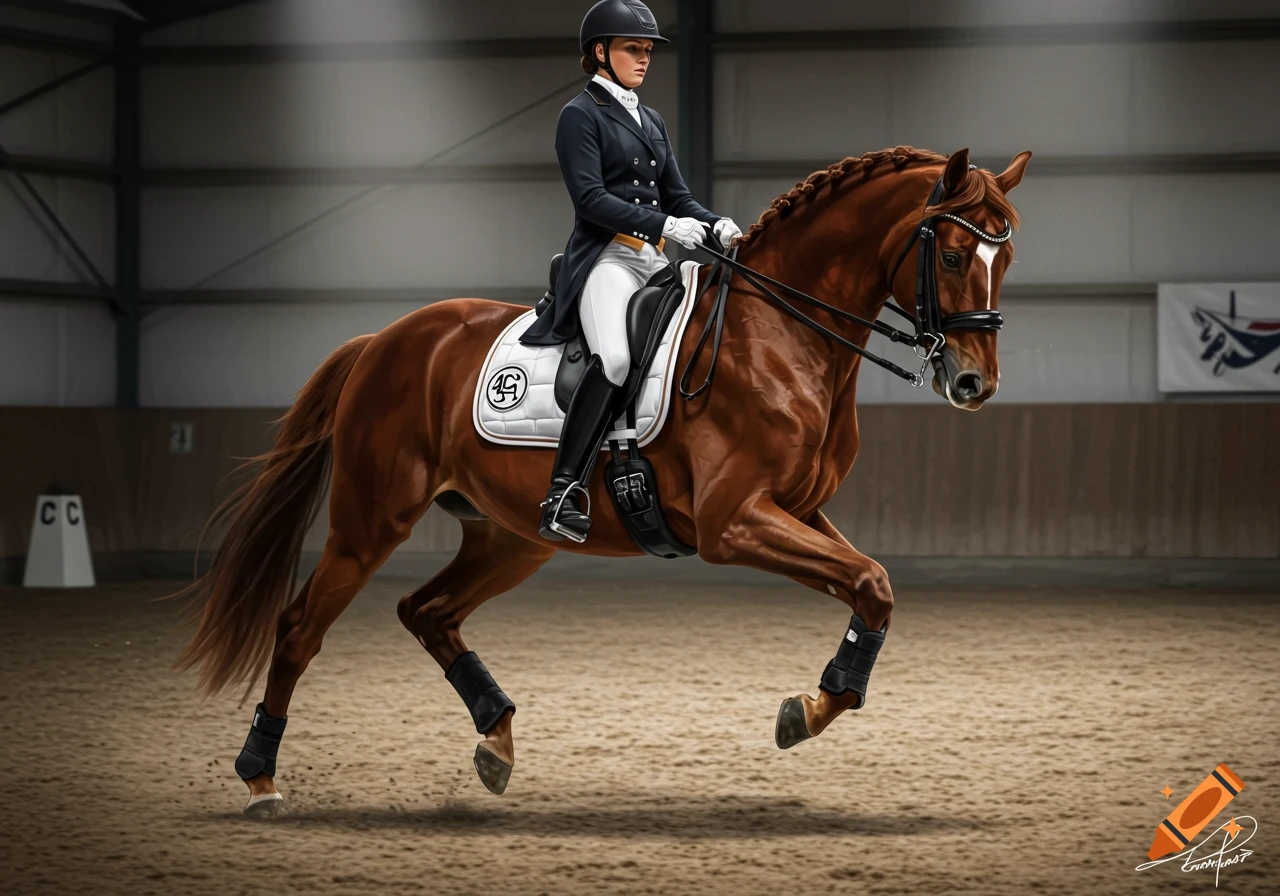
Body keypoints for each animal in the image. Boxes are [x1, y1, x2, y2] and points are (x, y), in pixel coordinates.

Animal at [170, 145, 1031, 816]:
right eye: (954, 255)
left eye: (1008, 257)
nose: (974, 383)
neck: (778, 332)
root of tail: (385, 338)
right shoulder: (732, 522)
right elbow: (870, 579)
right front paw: (806, 709)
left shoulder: (798, 511)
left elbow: (871, 584)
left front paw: (816, 706)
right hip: (369, 520)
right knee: (299, 628)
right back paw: (261, 778)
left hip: (510, 536)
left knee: (428, 610)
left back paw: (496, 740)